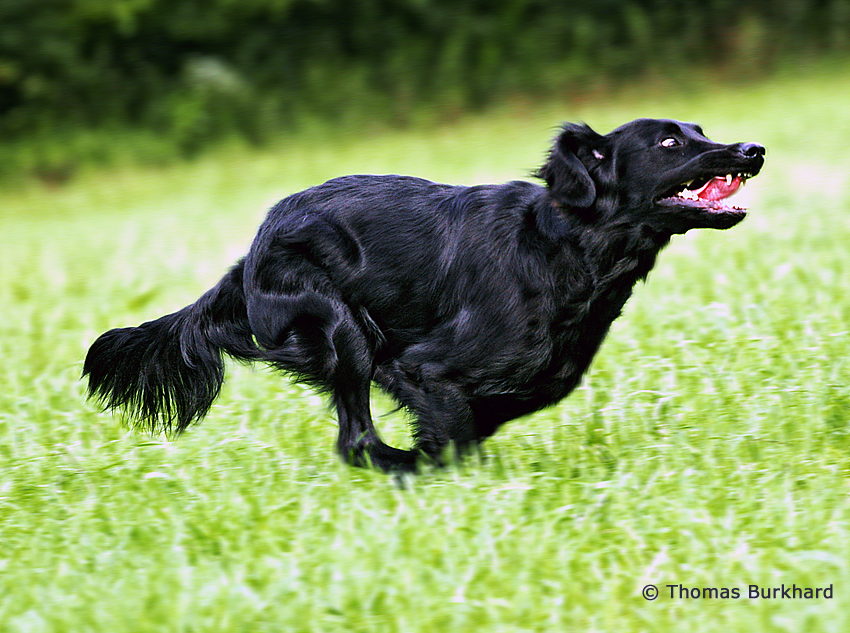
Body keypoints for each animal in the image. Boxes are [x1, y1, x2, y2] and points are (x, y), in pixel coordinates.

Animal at [83, 121, 764, 472]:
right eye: (669, 143)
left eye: (700, 129)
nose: (751, 148)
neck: (566, 242)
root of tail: (250, 255)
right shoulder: (418, 366)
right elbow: (454, 431)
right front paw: (441, 466)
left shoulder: (535, 374)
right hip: (346, 331)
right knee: (356, 440)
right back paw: (401, 467)